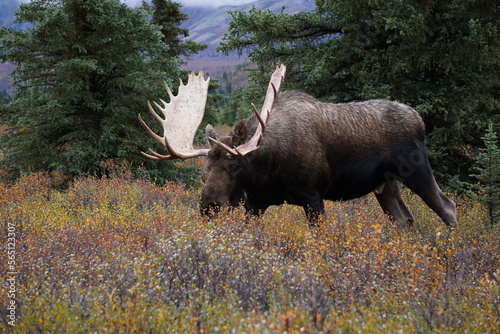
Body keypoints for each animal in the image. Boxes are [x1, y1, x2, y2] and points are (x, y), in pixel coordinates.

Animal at [138, 65, 458, 227]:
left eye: (233, 164)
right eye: (206, 166)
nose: (209, 206)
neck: (267, 170)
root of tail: (419, 119)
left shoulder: (313, 197)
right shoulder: (255, 203)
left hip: (417, 169)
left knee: (448, 207)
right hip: (385, 184)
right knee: (405, 219)